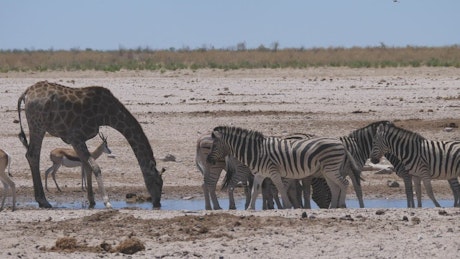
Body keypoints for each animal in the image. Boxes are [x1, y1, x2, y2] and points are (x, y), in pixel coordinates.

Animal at [17, 81, 164, 209]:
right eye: (158, 182)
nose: (157, 202)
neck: (107, 114)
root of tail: (26, 93)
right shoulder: (75, 136)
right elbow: (95, 167)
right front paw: (106, 201)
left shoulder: (80, 138)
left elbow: (87, 166)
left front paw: (92, 201)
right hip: (38, 125)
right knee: (33, 155)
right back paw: (43, 201)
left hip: (37, 125)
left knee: (31, 154)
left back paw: (42, 200)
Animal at [205, 126, 360, 209]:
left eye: (215, 146)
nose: (208, 160)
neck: (256, 151)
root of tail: (341, 144)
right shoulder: (260, 174)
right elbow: (255, 190)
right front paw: (250, 208)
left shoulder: (273, 172)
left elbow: (280, 188)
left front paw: (287, 206)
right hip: (327, 170)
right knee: (335, 187)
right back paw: (333, 207)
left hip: (330, 169)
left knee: (344, 183)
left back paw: (341, 205)